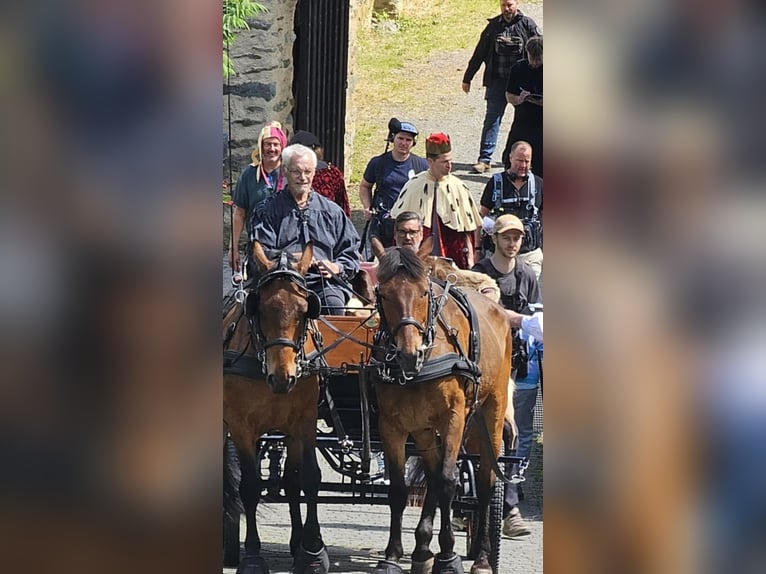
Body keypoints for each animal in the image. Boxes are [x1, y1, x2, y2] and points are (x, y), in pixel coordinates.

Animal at [223, 241, 329, 574]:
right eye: (259, 308)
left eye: (305, 309)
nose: (283, 377)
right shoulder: (241, 426)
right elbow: (250, 486)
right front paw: (253, 556)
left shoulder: (305, 421)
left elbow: (307, 478)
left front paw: (312, 551)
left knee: (292, 481)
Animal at [371, 247, 515, 574]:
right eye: (383, 293)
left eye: (424, 292)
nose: (408, 354)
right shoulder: (392, 424)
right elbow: (399, 489)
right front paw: (392, 556)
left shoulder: (454, 418)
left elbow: (450, 483)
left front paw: (448, 555)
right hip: (425, 428)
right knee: (433, 475)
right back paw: (423, 550)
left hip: (491, 411)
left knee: (485, 482)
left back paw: (482, 557)